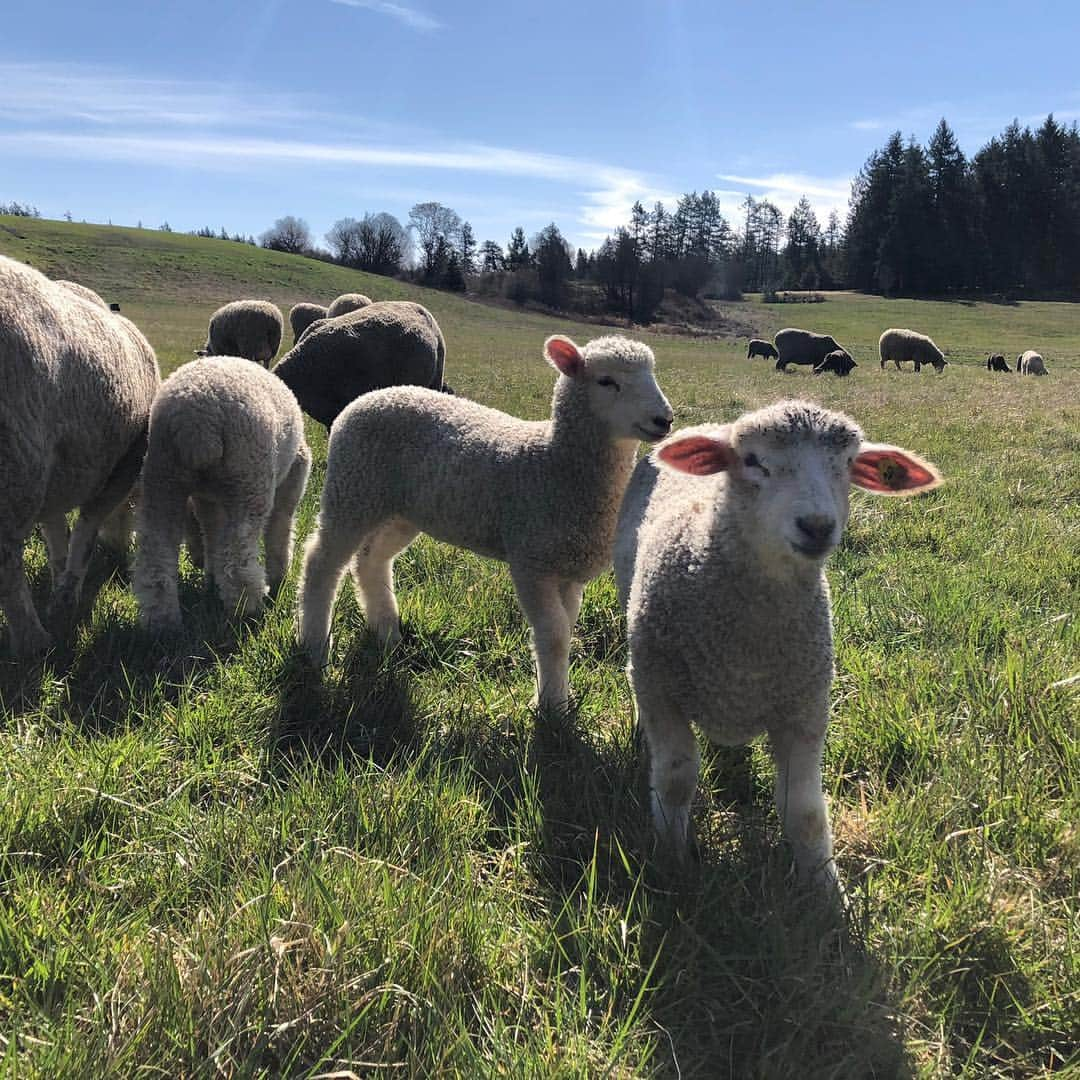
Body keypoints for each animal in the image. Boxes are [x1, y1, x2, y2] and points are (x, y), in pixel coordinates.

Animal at [0, 253, 158, 656]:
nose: (121, 554)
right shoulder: (120, 468)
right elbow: (85, 531)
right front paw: (68, 594)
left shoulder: (58, 472)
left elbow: (57, 530)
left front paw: (59, 580)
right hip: (18, 461)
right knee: (6, 559)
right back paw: (33, 642)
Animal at [133, 352, 313, 630]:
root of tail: (196, 422)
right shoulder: (293, 476)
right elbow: (280, 529)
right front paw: (280, 577)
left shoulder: (206, 498)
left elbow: (213, 533)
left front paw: (210, 576)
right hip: (250, 479)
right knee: (238, 556)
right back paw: (245, 609)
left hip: (162, 478)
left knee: (156, 556)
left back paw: (162, 621)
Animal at [298, 332, 673, 712]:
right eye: (607, 381)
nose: (665, 420)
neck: (552, 461)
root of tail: (369, 397)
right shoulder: (530, 562)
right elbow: (553, 634)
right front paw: (551, 707)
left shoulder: (567, 569)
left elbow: (566, 629)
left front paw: (559, 697)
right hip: (352, 488)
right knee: (321, 563)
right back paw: (314, 648)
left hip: (401, 509)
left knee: (370, 559)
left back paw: (386, 631)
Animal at [617, 401, 946, 889]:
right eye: (753, 461)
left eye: (849, 462)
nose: (817, 526)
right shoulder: (662, 690)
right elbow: (675, 781)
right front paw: (673, 864)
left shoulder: (805, 707)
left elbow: (805, 812)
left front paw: (826, 889)